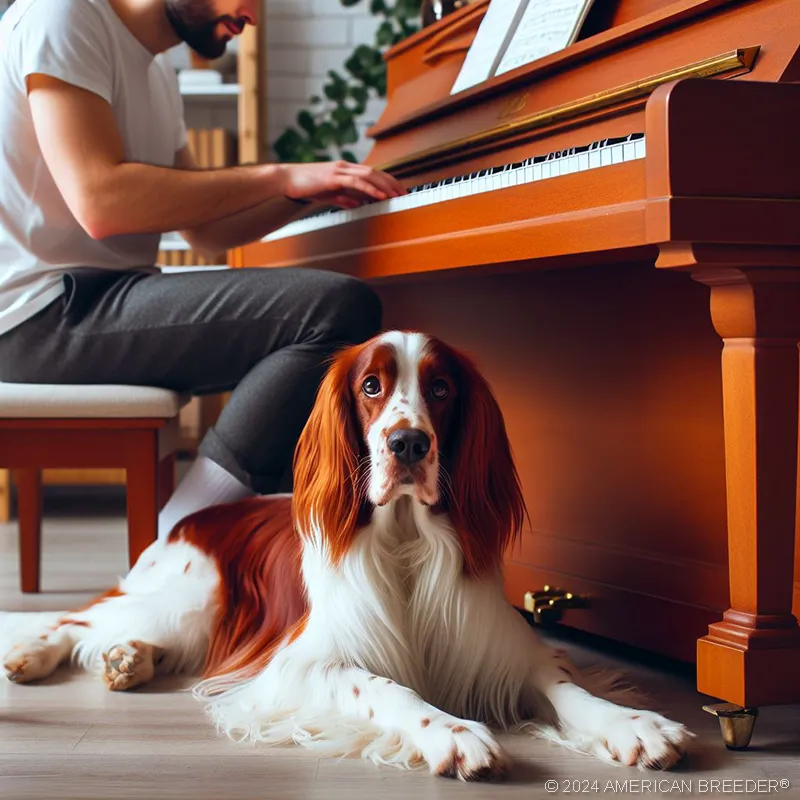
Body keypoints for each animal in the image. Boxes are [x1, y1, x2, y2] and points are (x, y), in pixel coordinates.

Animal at [1, 328, 692, 780]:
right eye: (370, 385)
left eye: (441, 388)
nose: (408, 443)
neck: (407, 544)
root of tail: (197, 515)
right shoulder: (304, 663)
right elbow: (386, 686)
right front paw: (452, 732)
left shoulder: (504, 651)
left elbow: (569, 688)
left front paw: (636, 724)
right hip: (189, 598)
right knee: (77, 619)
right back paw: (38, 655)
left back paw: (130, 660)